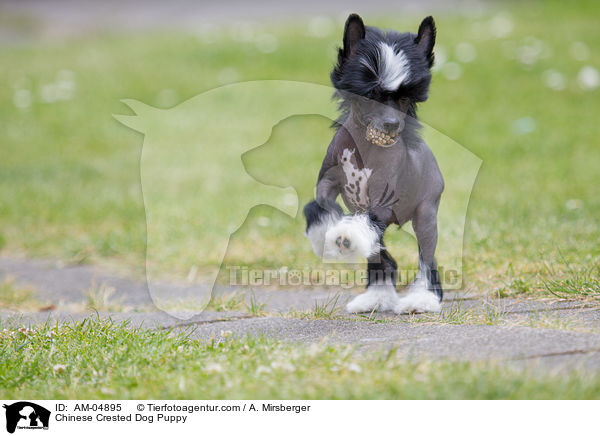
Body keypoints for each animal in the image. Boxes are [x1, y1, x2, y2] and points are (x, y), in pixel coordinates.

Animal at [308, 13, 442, 314]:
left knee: (426, 259)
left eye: (405, 97)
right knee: (381, 256)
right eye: (371, 94)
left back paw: (422, 299)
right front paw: (326, 234)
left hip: (426, 216)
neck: (366, 149)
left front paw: (344, 235)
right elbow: (321, 204)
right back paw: (376, 297)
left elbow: (364, 222)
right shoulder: (327, 183)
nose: (392, 125)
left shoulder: (381, 202)